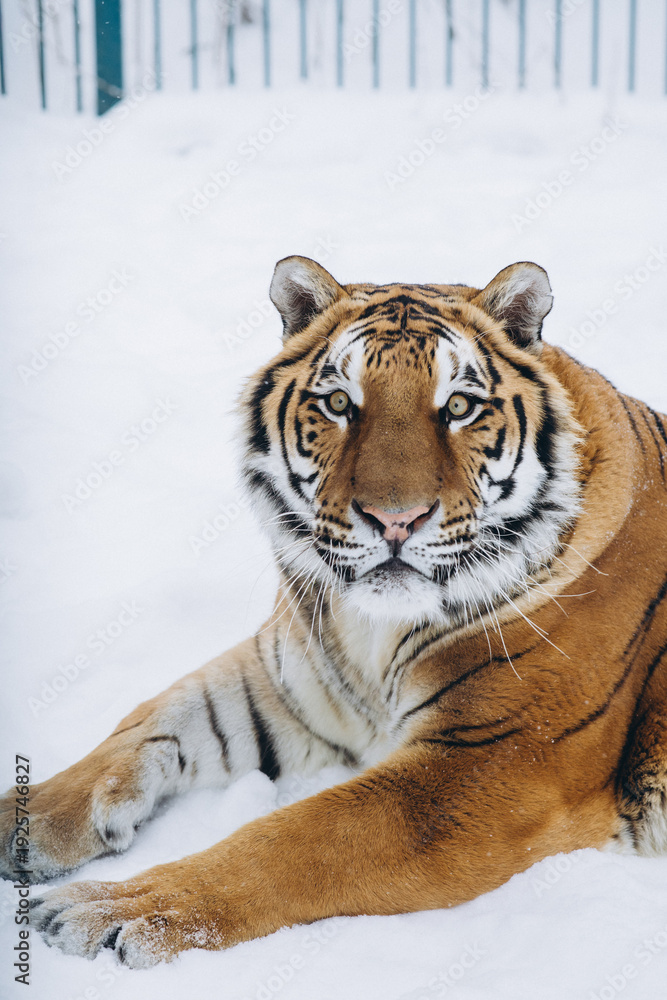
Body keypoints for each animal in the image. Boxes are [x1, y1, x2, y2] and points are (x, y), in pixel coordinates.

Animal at [2, 257, 666, 969]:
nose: (396, 521)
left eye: (459, 406)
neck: (371, 632)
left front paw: (111, 908)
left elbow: (297, 837)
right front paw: (23, 818)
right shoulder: (284, 679)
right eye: (340, 403)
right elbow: (150, 722)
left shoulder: (492, 765)